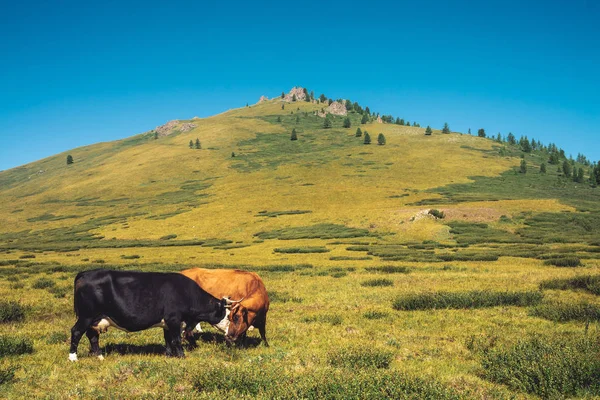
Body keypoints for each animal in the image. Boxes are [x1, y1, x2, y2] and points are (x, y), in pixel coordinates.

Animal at [68, 270, 232, 360]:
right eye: (228, 315)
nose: (230, 333)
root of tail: (85, 273)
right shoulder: (174, 319)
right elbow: (176, 340)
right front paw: (181, 356)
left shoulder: (167, 323)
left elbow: (168, 340)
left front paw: (168, 355)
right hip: (86, 316)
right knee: (76, 332)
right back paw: (73, 358)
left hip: (95, 319)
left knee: (92, 336)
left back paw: (100, 356)